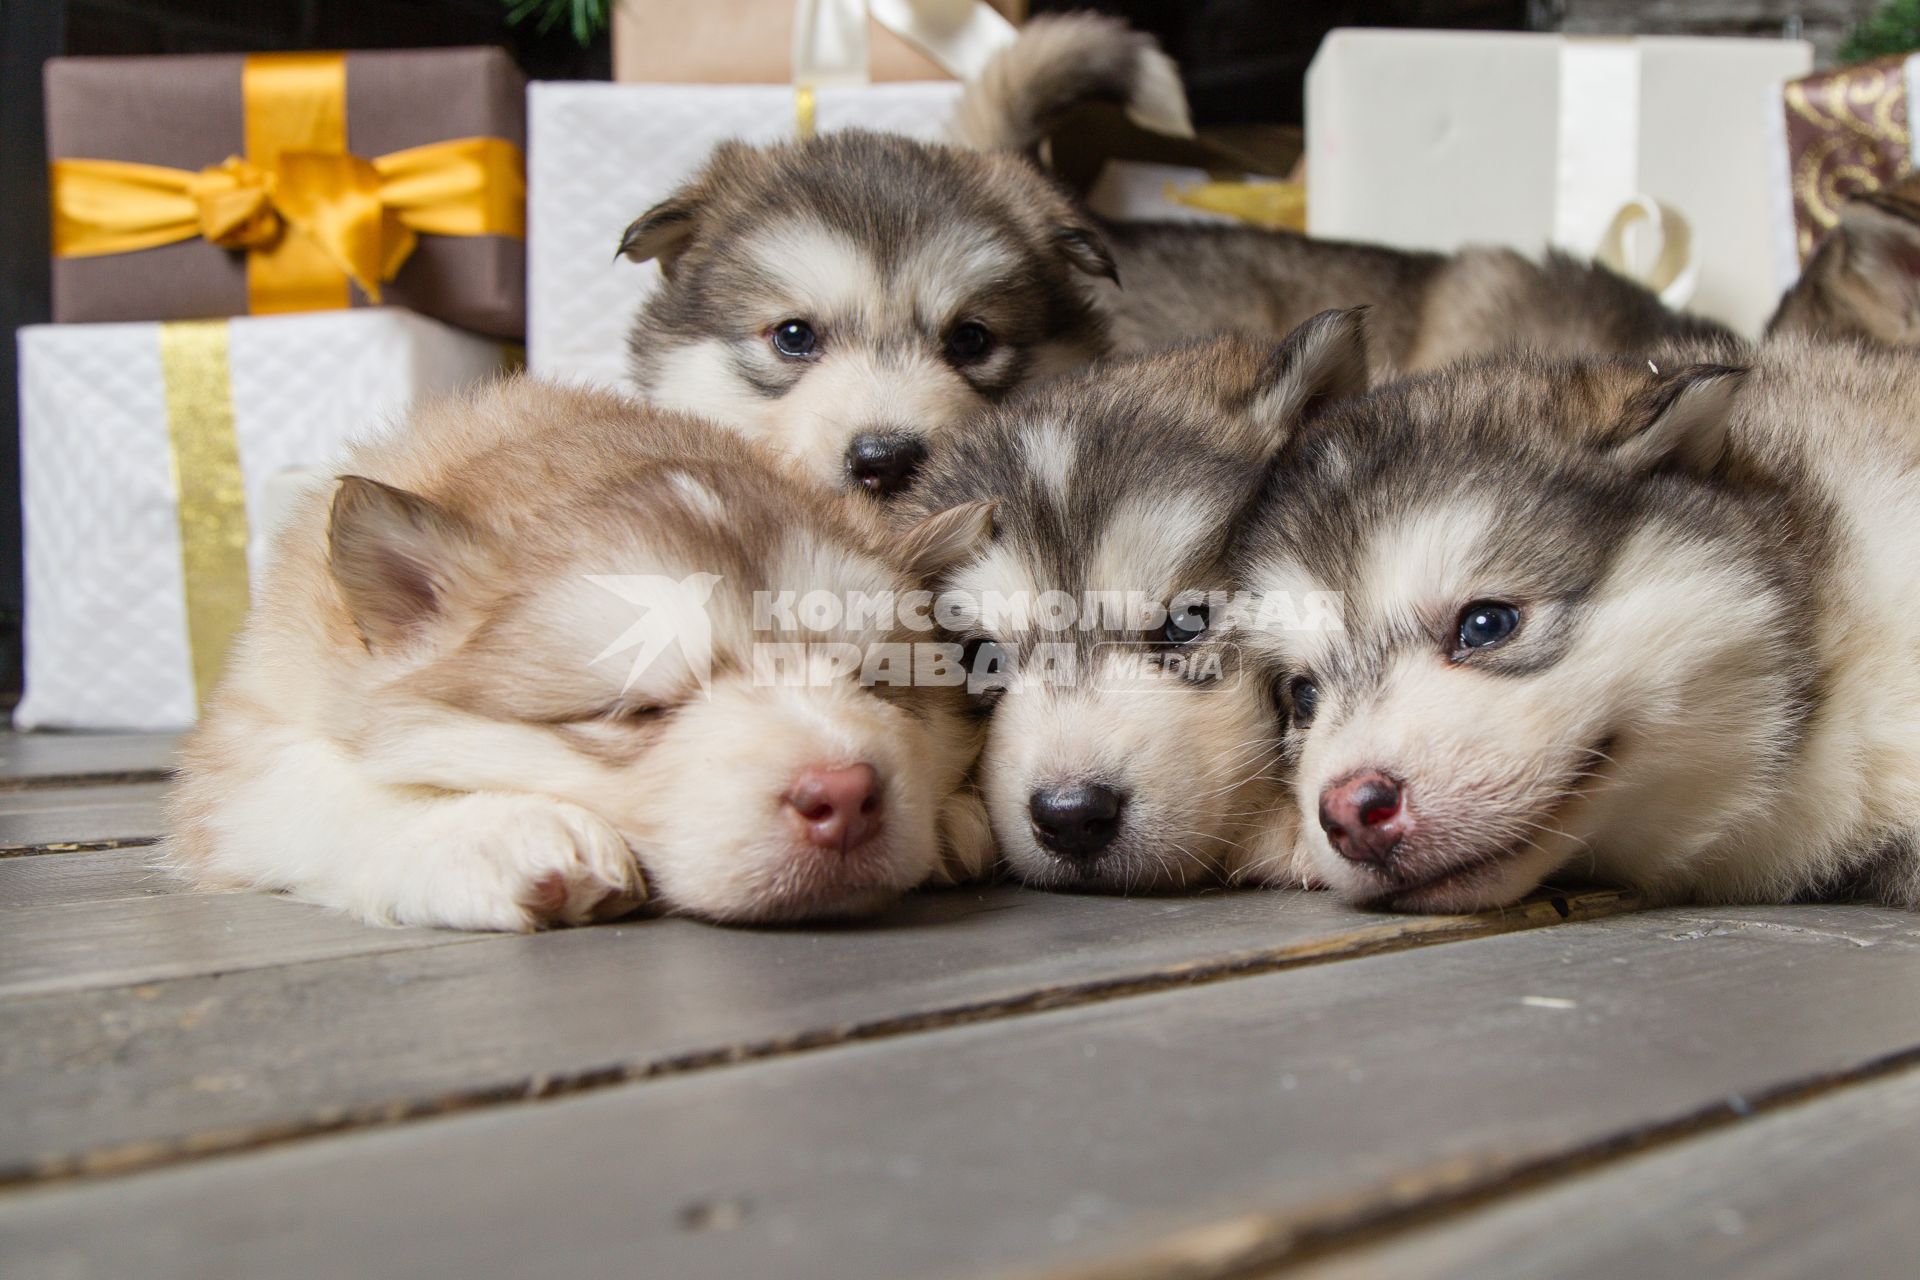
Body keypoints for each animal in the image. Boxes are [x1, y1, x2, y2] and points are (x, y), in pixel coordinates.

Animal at [170, 379, 998, 932]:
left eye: (875, 684)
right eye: (638, 710)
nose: (847, 795)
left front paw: (953, 812)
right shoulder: (242, 760)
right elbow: (330, 790)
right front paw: (495, 832)